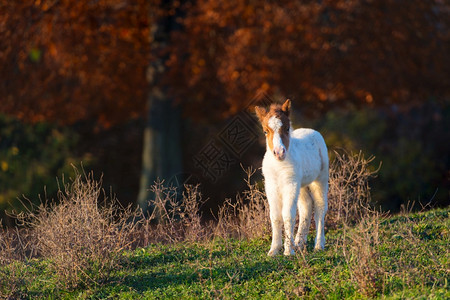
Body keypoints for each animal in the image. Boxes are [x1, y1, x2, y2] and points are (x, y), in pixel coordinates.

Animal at [255, 99, 328, 256]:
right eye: (265, 131)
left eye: (287, 128)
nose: (279, 152)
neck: (278, 166)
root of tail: (312, 131)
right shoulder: (271, 186)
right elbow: (275, 216)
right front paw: (274, 250)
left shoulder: (290, 184)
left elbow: (288, 215)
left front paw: (288, 251)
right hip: (301, 185)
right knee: (306, 206)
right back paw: (299, 243)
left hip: (320, 179)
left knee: (320, 207)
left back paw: (319, 245)